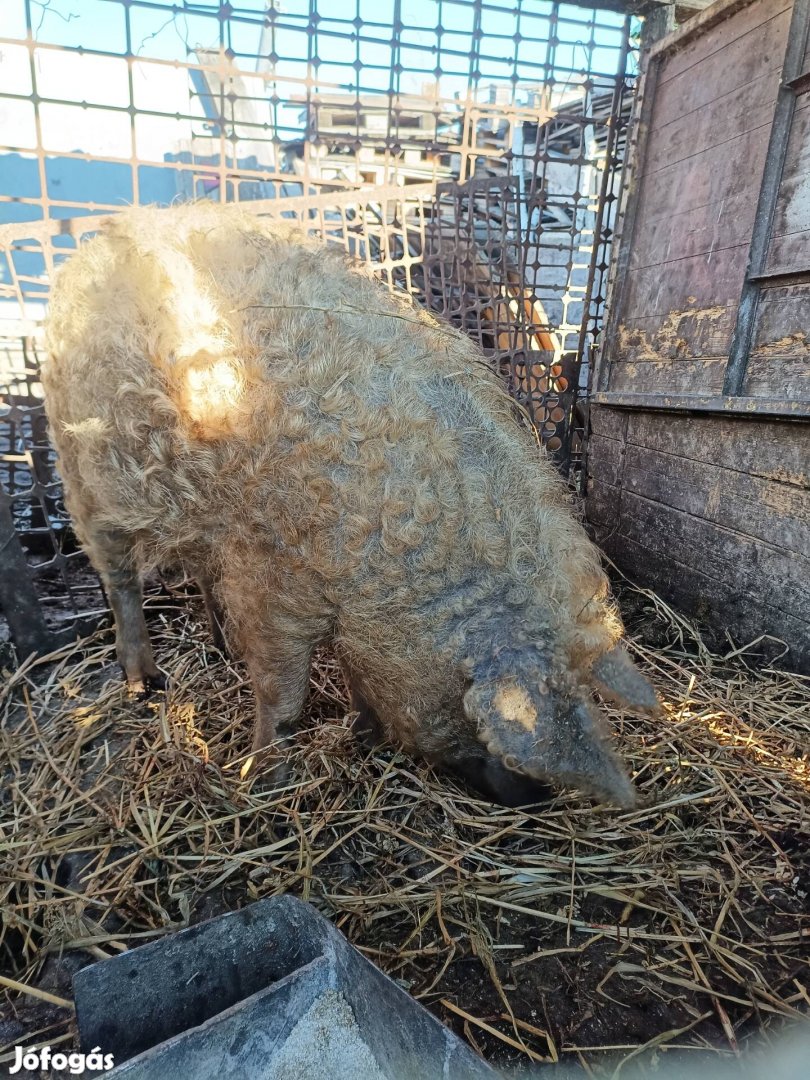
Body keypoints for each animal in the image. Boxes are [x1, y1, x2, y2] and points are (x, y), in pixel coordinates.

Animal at [42, 203, 660, 812]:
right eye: (479, 719)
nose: (535, 798)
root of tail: (103, 238)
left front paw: (362, 733)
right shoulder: (271, 578)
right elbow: (282, 690)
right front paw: (265, 781)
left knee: (198, 569)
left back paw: (219, 646)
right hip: (81, 470)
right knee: (118, 576)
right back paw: (144, 682)